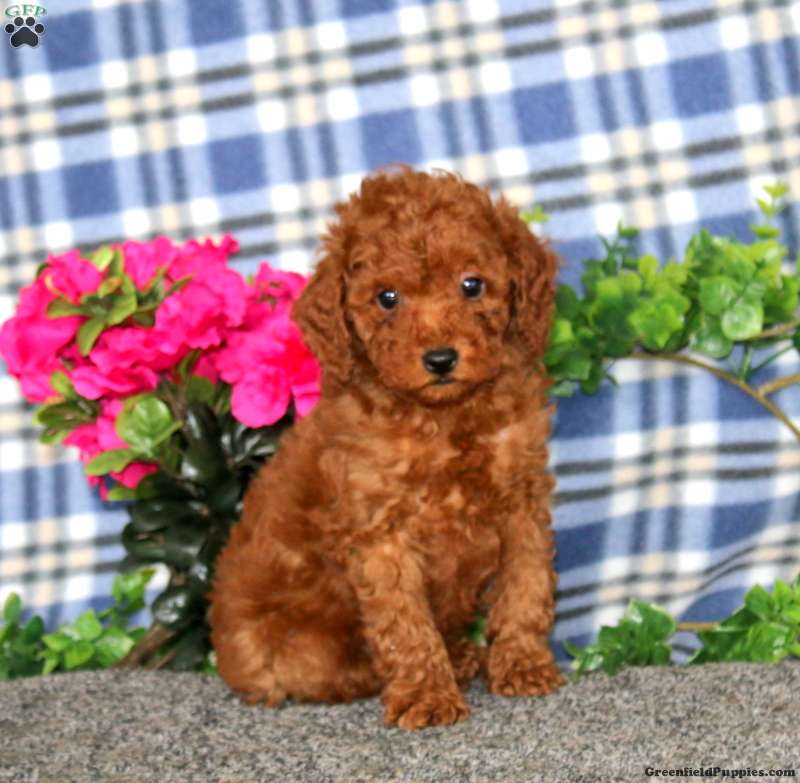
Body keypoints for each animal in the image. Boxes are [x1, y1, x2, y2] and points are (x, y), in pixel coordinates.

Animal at [209, 167, 564, 729]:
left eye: (472, 284)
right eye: (387, 298)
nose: (440, 359)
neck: (445, 417)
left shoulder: (522, 498)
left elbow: (526, 585)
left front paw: (524, 664)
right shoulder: (379, 530)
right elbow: (404, 621)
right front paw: (426, 694)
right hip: (290, 647)